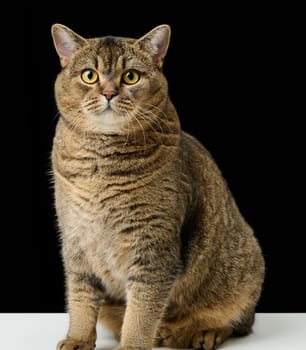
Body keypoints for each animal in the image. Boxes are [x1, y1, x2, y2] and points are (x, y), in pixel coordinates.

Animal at [50, 22, 266, 350]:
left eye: (131, 76)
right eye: (90, 75)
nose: (109, 92)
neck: (100, 167)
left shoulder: (153, 247)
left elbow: (142, 309)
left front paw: (132, 345)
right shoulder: (76, 241)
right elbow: (80, 299)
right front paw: (77, 338)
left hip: (246, 267)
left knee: (240, 322)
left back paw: (202, 333)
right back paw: (164, 332)